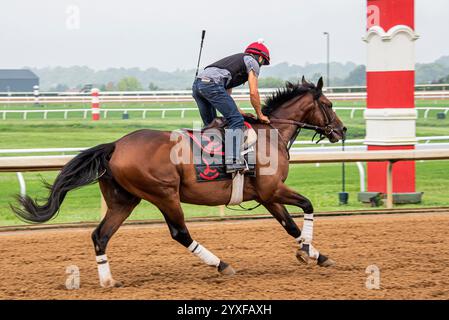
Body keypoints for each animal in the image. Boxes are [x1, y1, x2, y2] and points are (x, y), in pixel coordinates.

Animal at [11, 77, 346, 288]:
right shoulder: (272, 189)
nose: (341, 130)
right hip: (164, 194)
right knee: (180, 233)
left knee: (100, 235)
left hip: (123, 200)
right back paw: (221, 265)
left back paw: (108, 281)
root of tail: (115, 145)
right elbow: (307, 206)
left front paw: (316, 255)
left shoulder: (266, 196)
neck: (269, 134)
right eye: (329, 104)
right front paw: (307, 249)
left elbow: (290, 225)